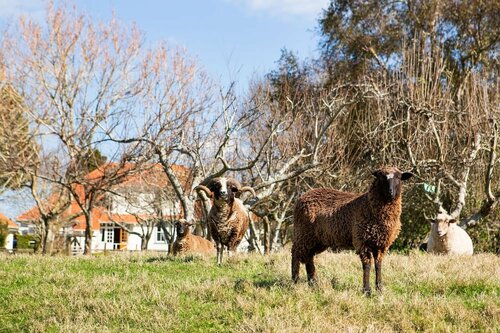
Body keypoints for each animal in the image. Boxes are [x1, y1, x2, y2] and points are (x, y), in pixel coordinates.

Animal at [292, 166, 412, 294]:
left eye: (399, 177)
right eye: (381, 177)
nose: (390, 193)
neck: (368, 204)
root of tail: (303, 197)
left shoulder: (381, 244)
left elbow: (378, 265)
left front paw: (379, 289)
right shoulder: (362, 241)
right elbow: (367, 265)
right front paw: (367, 291)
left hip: (317, 239)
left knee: (309, 258)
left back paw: (313, 284)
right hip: (303, 233)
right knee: (295, 253)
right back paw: (294, 281)